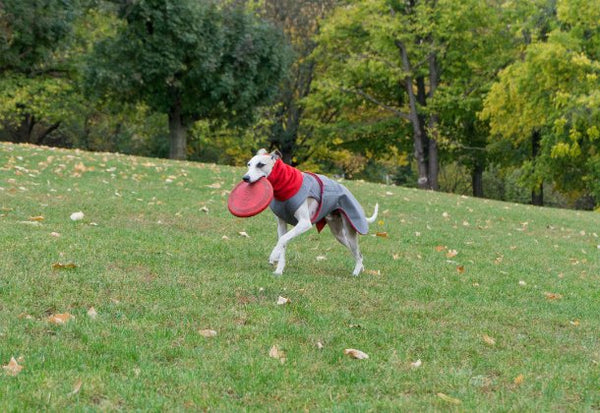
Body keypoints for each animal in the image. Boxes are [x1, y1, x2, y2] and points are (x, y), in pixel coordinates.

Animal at [241, 146, 378, 276]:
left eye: (260, 164)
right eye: (249, 164)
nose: (245, 178)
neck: (285, 185)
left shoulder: (304, 223)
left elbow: (283, 239)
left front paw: (273, 256)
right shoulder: (281, 224)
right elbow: (283, 242)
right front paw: (279, 270)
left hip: (350, 232)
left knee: (358, 254)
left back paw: (356, 272)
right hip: (339, 234)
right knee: (358, 254)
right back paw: (361, 268)